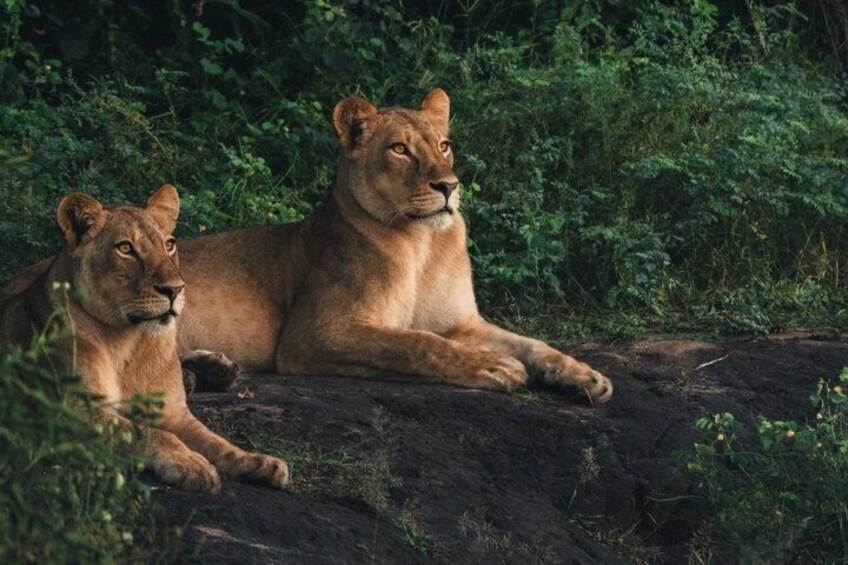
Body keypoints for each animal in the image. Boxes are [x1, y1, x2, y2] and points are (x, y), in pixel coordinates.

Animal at [0, 186, 289, 493]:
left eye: (169, 244)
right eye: (126, 248)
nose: (175, 290)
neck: (128, 341)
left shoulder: (174, 413)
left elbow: (215, 441)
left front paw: (257, 462)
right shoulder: (67, 414)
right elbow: (146, 432)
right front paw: (191, 463)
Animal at [176, 89, 612, 403]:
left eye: (444, 145)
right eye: (400, 149)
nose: (449, 186)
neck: (423, 243)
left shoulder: (460, 323)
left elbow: (531, 343)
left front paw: (585, 375)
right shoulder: (314, 334)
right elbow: (416, 343)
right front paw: (494, 366)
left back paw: (211, 370)